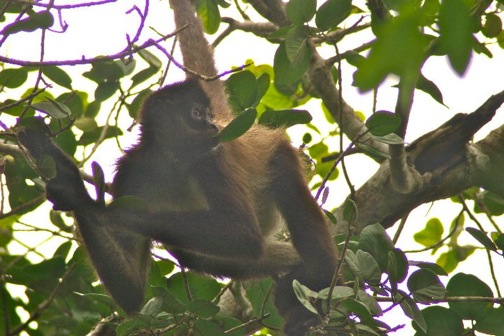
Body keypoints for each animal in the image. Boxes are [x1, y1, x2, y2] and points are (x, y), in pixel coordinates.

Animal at [16, 1, 338, 334]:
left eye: (205, 113)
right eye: (196, 113)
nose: (212, 126)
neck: (172, 161)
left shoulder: (211, 156)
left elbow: (241, 233)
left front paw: (114, 213)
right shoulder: (130, 174)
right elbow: (132, 294)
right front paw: (72, 188)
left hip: (276, 155)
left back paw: (315, 289)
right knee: (204, 255)